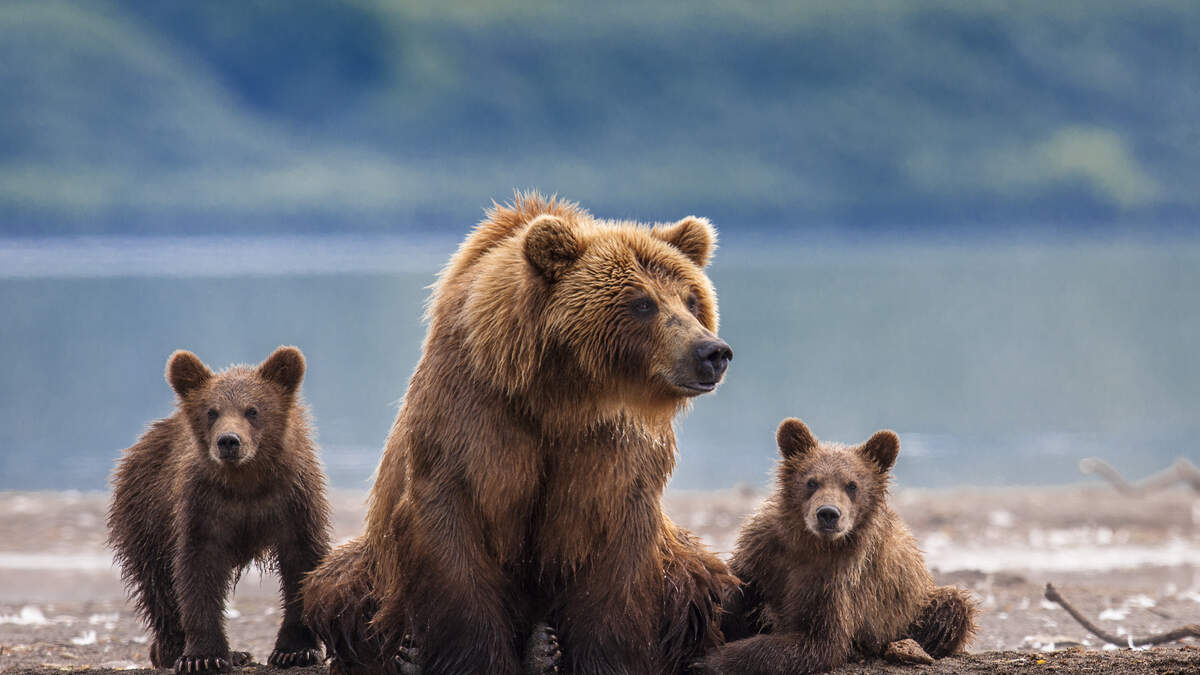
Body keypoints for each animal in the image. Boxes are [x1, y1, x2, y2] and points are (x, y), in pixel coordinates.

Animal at [304, 192, 734, 667]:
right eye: (642, 302)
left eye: (691, 299)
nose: (712, 351)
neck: (562, 394)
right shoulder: (474, 415)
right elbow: (454, 535)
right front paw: (478, 658)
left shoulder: (611, 447)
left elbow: (615, 557)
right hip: (375, 568)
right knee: (337, 588)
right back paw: (413, 655)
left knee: (700, 577)